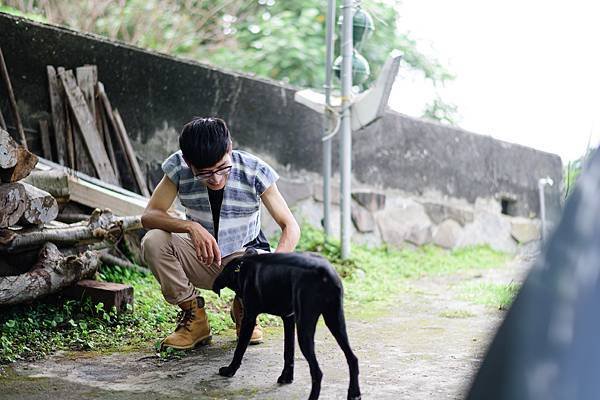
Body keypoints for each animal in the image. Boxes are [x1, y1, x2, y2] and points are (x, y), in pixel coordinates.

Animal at [212, 250, 360, 400]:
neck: (242, 265)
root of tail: (324, 271)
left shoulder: (249, 319)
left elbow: (239, 349)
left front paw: (229, 370)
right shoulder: (289, 318)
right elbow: (288, 351)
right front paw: (287, 377)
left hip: (305, 330)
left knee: (317, 372)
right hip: (335, 322)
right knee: (352, 359)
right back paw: (354, 394)